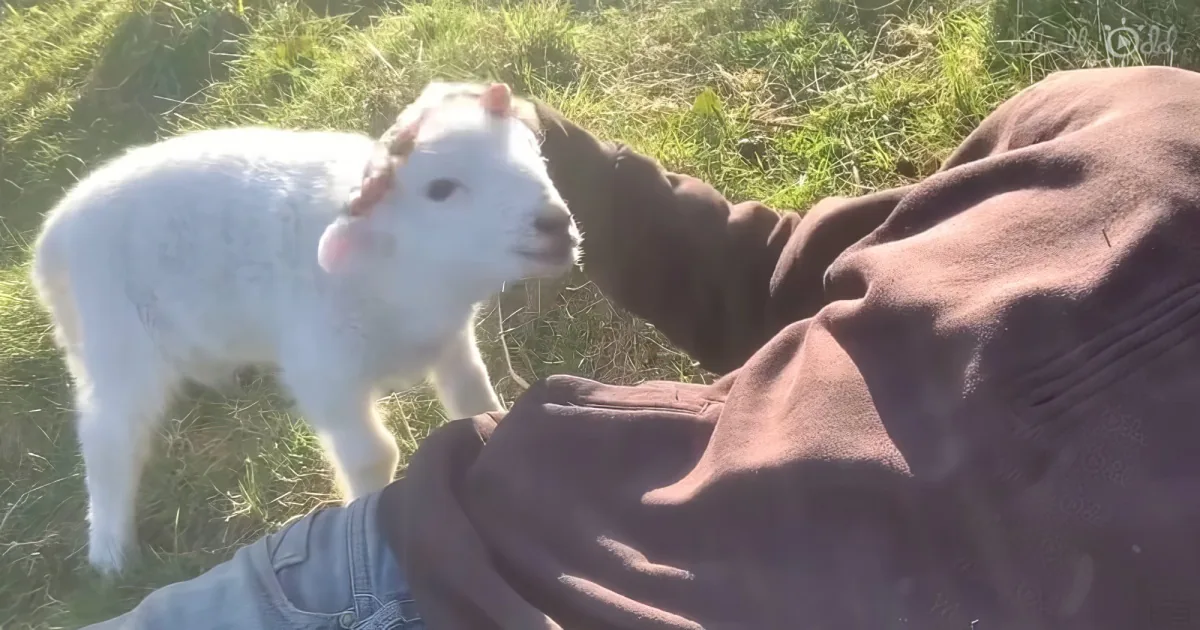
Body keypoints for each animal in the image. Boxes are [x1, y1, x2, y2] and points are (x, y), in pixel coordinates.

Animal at [29, 81, 581, 574]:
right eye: (440, 189)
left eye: (534, 153)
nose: (555, 223)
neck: (398, 271)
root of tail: (52, 236)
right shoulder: (325, 372)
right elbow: (372, 454)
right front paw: (367, 514)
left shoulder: (450, 341)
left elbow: (473, 397)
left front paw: (496, 430)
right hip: (116, 340)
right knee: (107, 436)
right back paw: (111, 552)